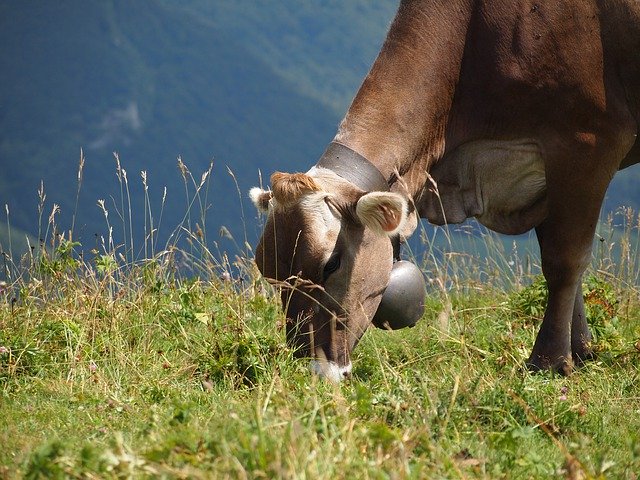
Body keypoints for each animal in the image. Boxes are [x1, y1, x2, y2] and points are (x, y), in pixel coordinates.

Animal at [250, 0, 640, 382]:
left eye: (331, 264)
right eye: (269, 272)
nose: (311, 369)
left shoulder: (587, 143)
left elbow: (564, 261)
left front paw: (549, 361)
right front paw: (581, 350)